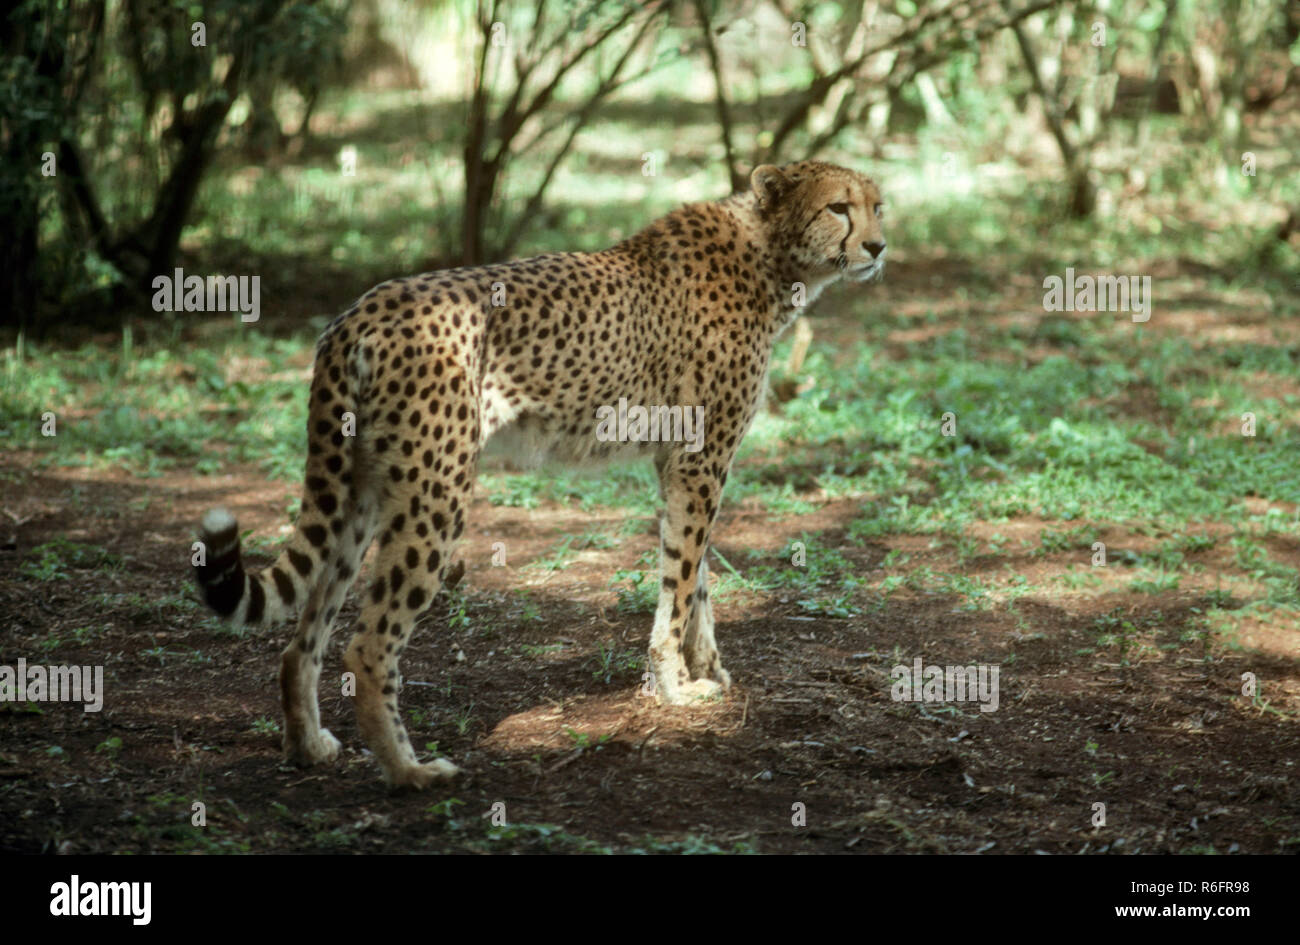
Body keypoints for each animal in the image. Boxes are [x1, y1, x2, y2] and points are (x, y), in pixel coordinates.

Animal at [195, 162, 883, 790]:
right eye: (839, 207)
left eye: (878, 206)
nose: (878, 247)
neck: (770, 255)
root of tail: (359, 311)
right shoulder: (700, 459)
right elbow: (683, 582)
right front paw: (676, 688)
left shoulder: (679, 463)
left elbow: (696, 576)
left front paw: (704, 671)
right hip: (436, 494)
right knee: (367, 646)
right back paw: (410, 772)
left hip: (360, 493)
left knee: (302, 638)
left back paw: (308, 746)